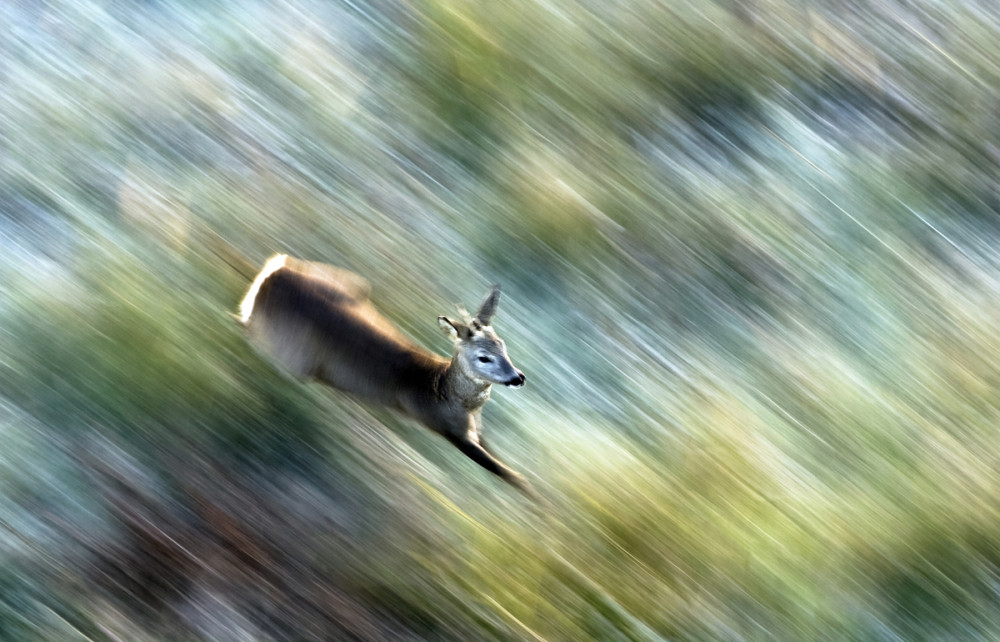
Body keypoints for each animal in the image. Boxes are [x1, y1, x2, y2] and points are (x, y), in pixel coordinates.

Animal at [237, 255, 536, 496]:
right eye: (483, 357)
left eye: (502, 345)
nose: (518, 377)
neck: (441, 389)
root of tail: (271, 275)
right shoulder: (449, 430)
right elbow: (507, 474)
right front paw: (539, 506)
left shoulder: (475, 430)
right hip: (290, 357)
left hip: (351, 284)